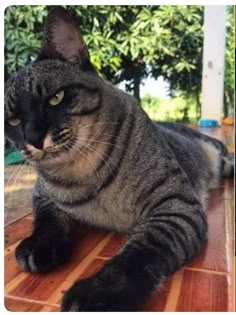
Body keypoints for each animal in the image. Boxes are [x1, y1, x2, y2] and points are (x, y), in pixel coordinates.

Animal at [4, 6, 233, 312]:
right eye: (13, 120)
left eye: (56, 98)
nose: (34, 138)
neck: (81, 172)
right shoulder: (42, 195)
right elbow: (47, 221)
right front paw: (39, 245)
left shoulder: (175, 205)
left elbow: (139, 252)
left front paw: (98, 290)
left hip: (217, 154)